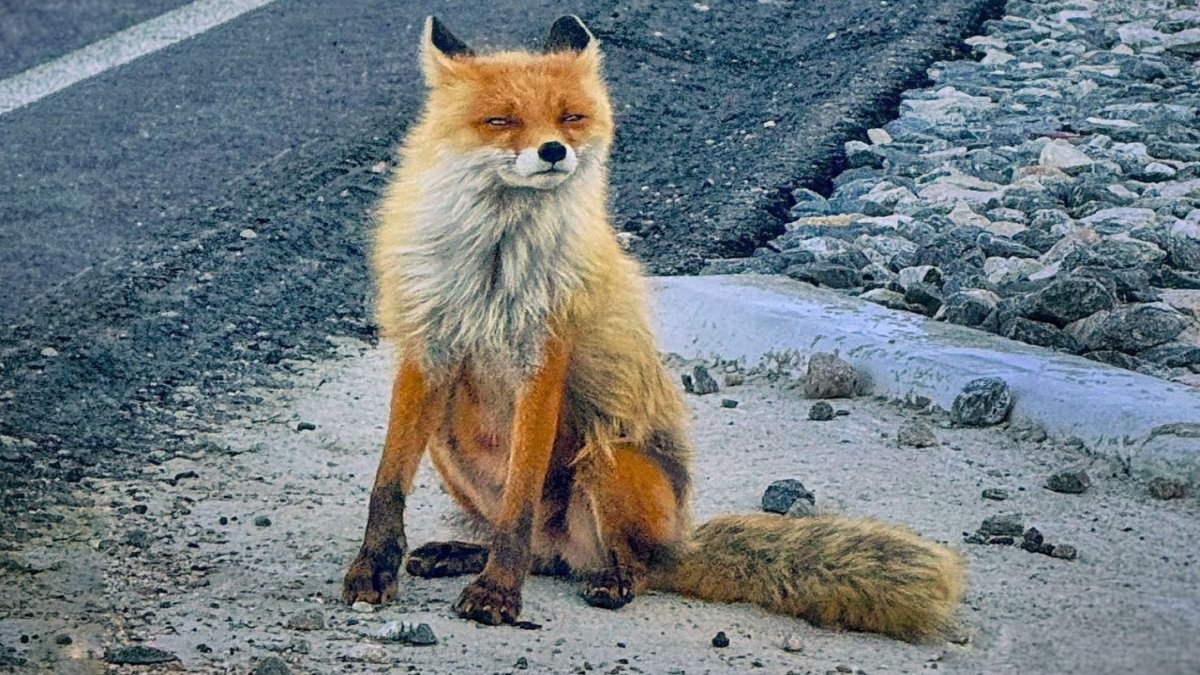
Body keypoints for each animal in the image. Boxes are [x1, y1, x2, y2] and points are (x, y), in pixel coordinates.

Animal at [341, 15, 965, 640]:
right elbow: (388, 484)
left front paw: (497, 593)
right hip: (447, 439)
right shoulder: (427, 346)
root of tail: (679, 540)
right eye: (502, 121)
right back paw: (462, 554)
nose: (553, 150)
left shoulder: (543, 363)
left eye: (570, 117)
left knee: (628, 565)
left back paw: (609, 582)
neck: (493, 262)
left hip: (607, 457)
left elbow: (517, 507)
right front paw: (374, 568)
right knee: (540, 553)